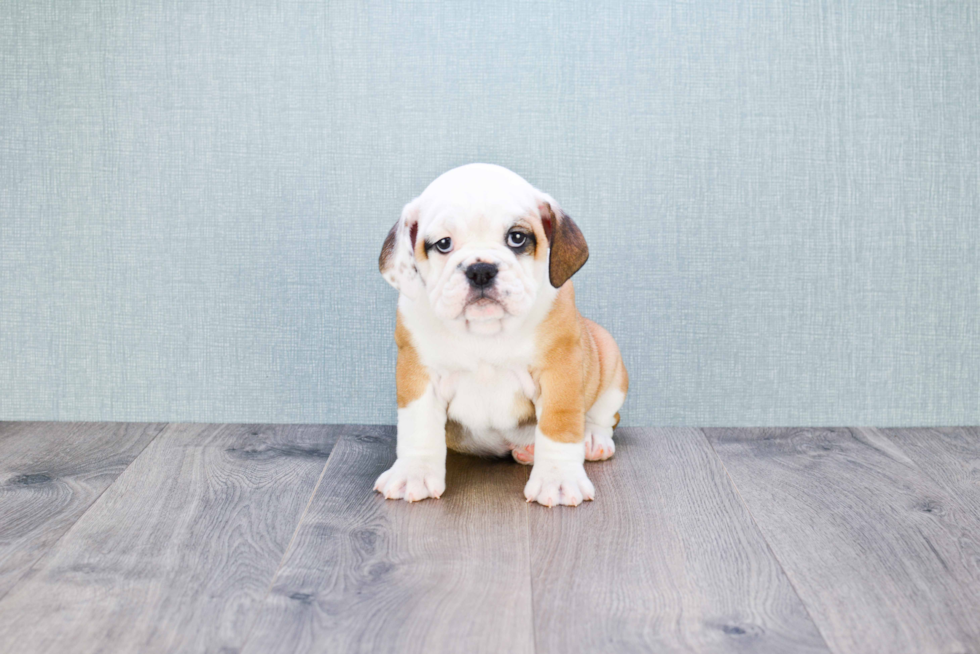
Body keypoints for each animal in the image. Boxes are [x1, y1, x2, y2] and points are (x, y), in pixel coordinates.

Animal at [372, 163, 632, 508]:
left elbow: (560, 426)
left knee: (604, 417)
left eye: (517, 238)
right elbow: (418, 427)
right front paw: (412, 473)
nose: (481, 269)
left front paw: (558, 479)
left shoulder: (559, 372)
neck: (485, 330)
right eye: (443, 244)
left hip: (610, 357)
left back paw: (590, 438)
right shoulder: (418, 375)